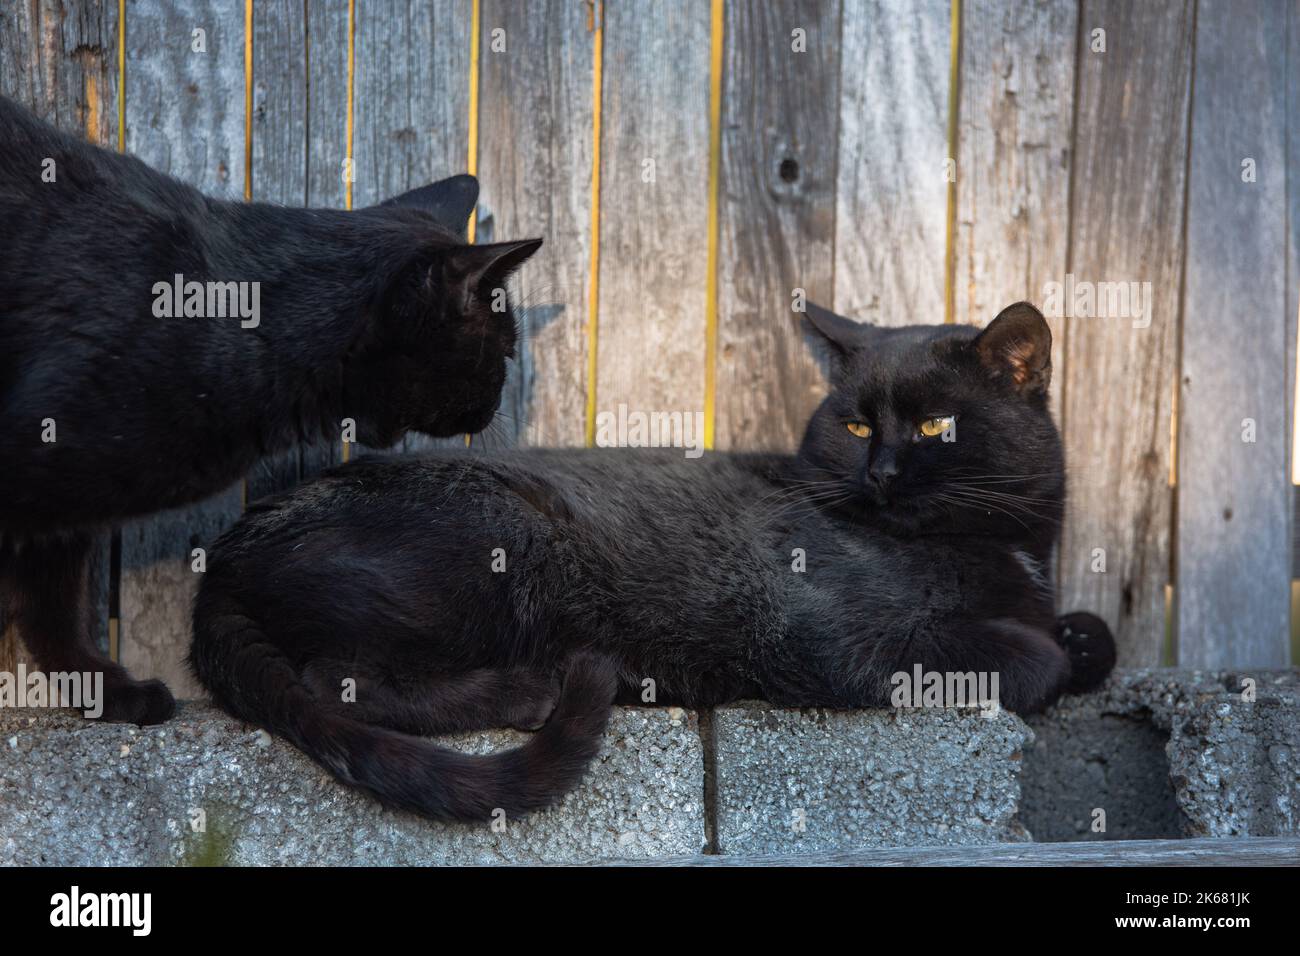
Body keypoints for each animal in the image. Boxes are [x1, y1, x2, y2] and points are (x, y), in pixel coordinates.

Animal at [189, 300, 1118, 822]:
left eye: (934, 427)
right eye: (857, 424)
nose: (881, 472)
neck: (1009, 545)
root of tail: (225, 557)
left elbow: (1089, 632)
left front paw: (1080, 635)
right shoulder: (833, 642)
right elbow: (1027, 659)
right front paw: (1050, 653)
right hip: (504, 536)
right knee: (338, 682)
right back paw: (541, 685)